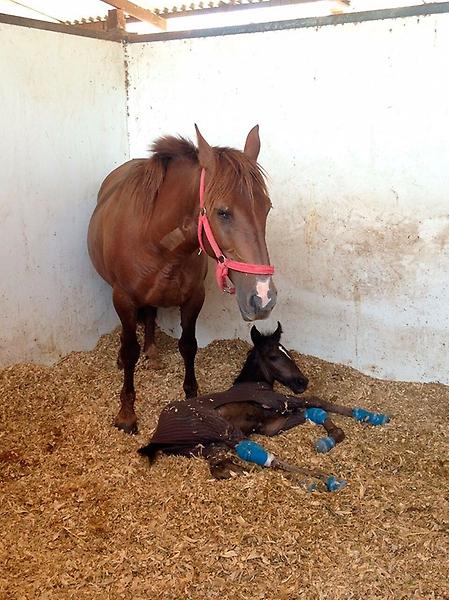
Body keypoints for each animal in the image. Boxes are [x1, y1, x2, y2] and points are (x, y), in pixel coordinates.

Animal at [86, 126, 276, 434]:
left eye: (267, 208)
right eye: (223, 212)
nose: (263, 297)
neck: (158, 243)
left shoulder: (193, 298)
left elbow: (188, 345)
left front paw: (192, 399)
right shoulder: (124, 298)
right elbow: (130, 350)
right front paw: (126, 414)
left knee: (151, 316)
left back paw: (152, 353)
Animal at [140, 324, 388, 488]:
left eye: (287, 352)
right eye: (273, 356)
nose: (302, 382)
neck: (254, 384)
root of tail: (157, 439)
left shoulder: (271, 426)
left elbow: (312, 412)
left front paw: (332, 436)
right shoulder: (278, 400)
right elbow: (318, 401)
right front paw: (370, 416)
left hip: (208, 446)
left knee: (227, 466)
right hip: (224, 430)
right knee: (264, 458)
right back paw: (323, 478)